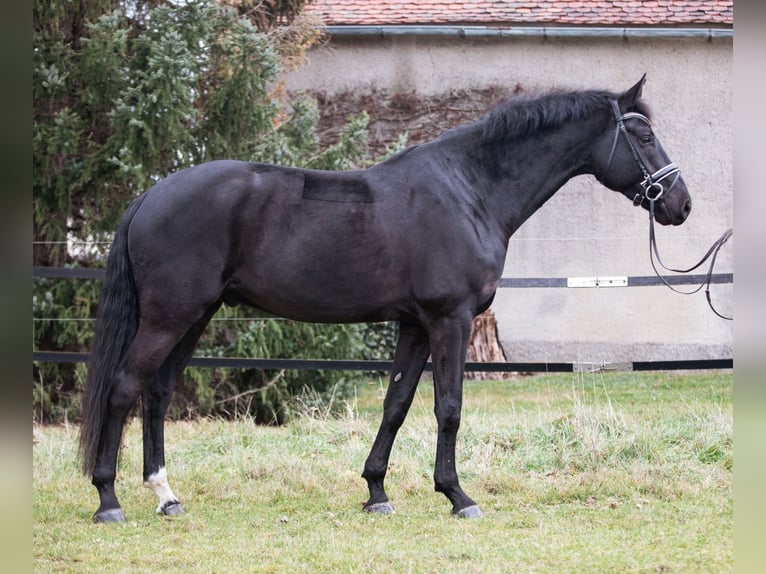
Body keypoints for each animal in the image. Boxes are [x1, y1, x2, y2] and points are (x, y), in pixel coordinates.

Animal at [79, 77, 696, 528]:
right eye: (643, 137)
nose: (681, 204)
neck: (468, 189)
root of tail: (151, 194)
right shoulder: (450, 320)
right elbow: (448, 407)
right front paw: (458, 495)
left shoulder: (414, 326)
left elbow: (396, 405)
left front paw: (376, 491)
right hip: (170, 316)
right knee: (124, 389)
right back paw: (108, 500)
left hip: (194, 317)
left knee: (157, 395)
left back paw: (166, 496)